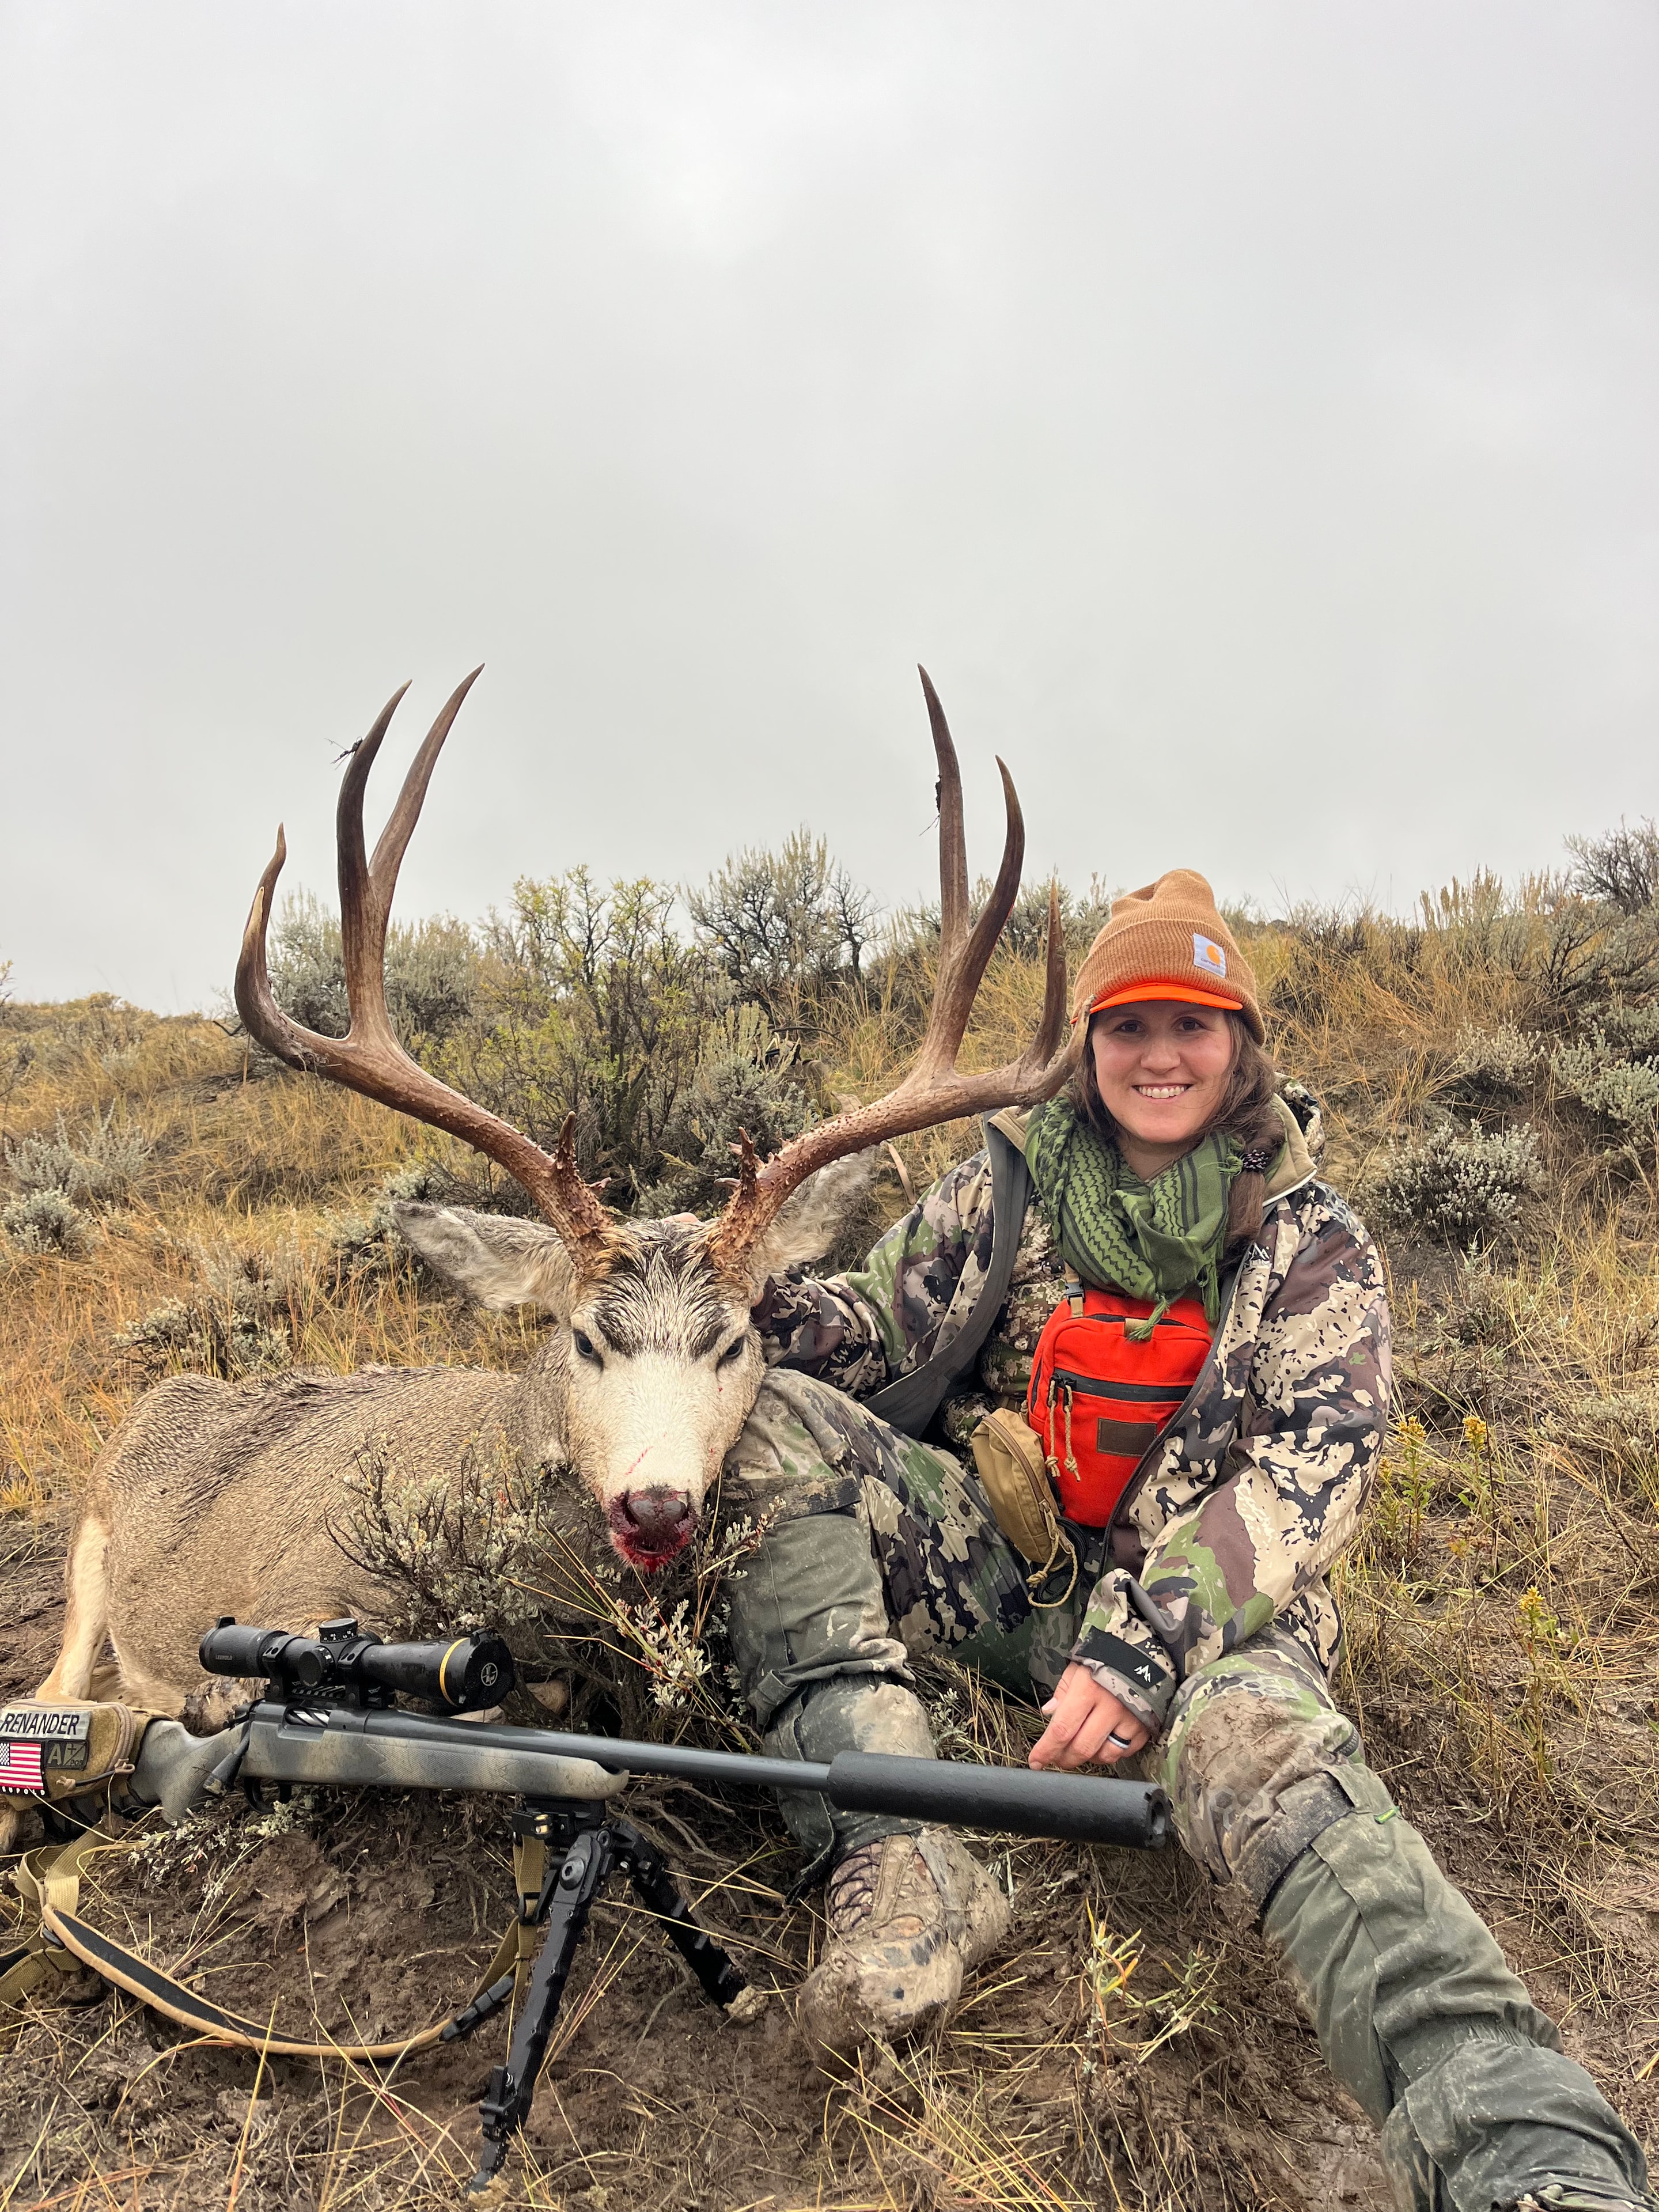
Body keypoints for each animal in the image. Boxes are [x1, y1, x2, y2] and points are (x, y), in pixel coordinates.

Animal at [34, 666, 1071, 1733]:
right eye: (584, 1340)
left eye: (733, 1343)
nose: (654, 1505)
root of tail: (166, 1398)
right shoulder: (292, 1596)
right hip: (89, 1555)